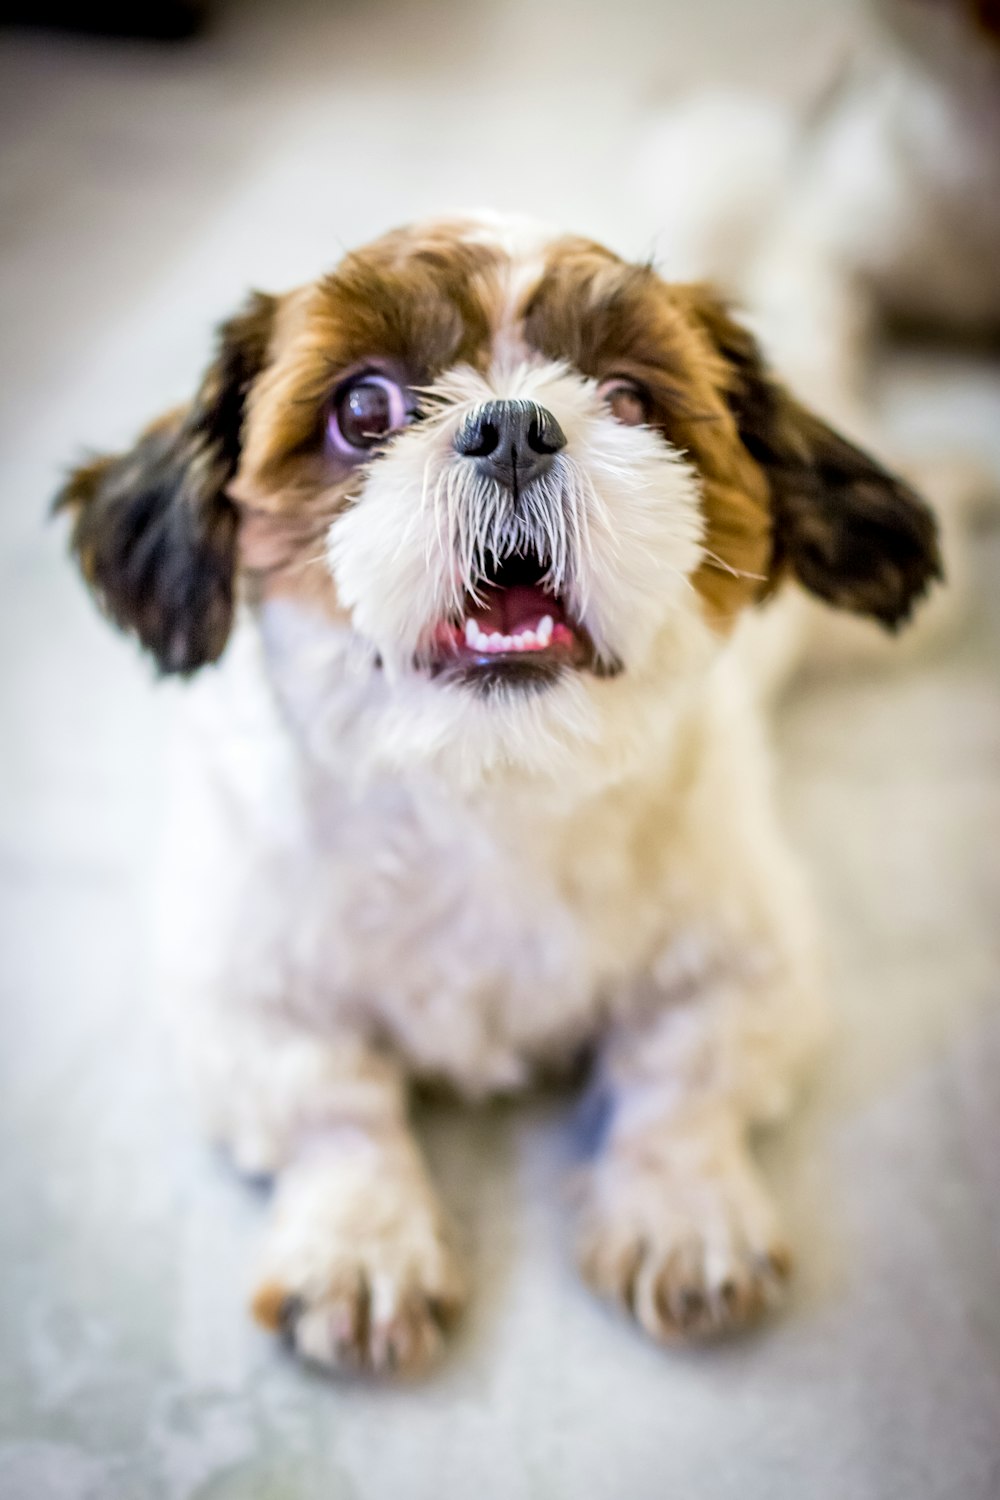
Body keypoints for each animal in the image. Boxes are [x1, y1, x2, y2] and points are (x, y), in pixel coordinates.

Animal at [54, 211, 941, 1374]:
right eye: (363, 410)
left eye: (628, 398)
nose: (513, 426)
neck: (486, 792)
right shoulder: (241, 983)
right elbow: (329, 1099)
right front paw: (362, 1242)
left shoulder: (754, 962)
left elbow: (684, 1076)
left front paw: (680, 1215)